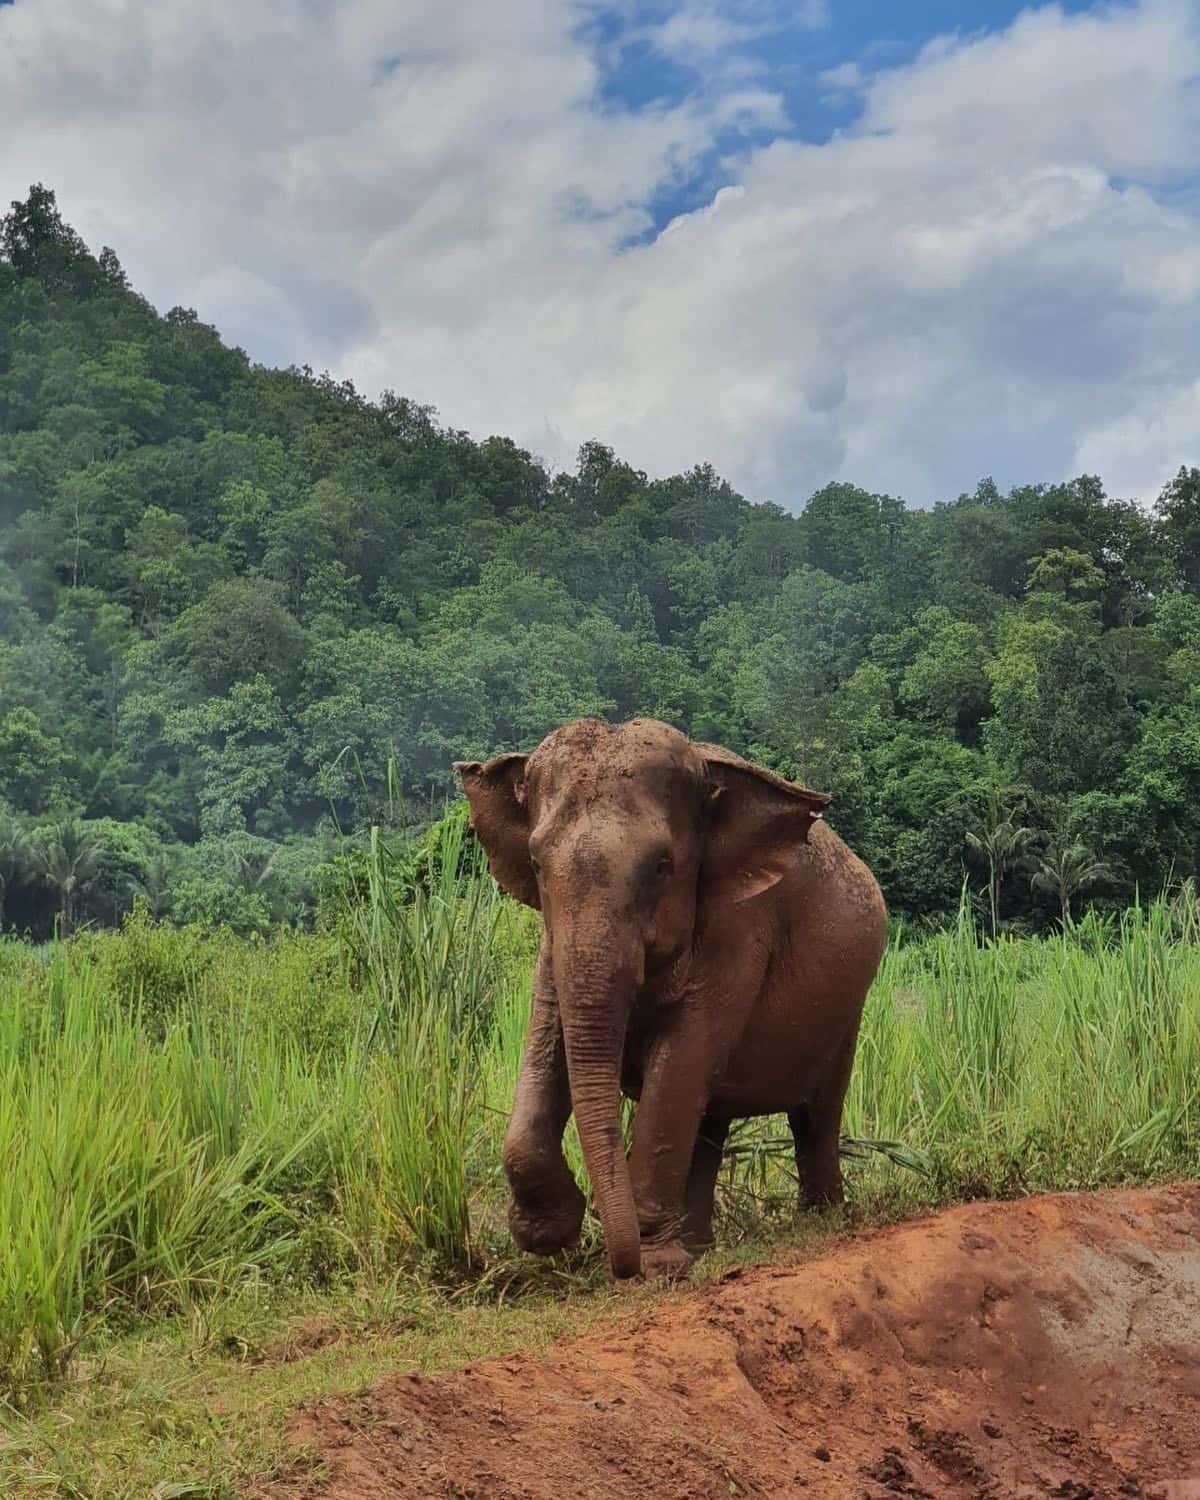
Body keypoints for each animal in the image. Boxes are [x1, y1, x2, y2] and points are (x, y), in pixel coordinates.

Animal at [454, 717, 887, 1281]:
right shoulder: (552, 946)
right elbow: (548, 1046)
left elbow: (680, 1061)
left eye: (662, 866)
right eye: (535, 862)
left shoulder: (740, 929)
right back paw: (700, 1245)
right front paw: (548, 1233)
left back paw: (819, 1221)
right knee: (710, 1117)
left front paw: (655, 1265)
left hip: (847, 1007)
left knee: (814, 1110)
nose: (617, 1264)